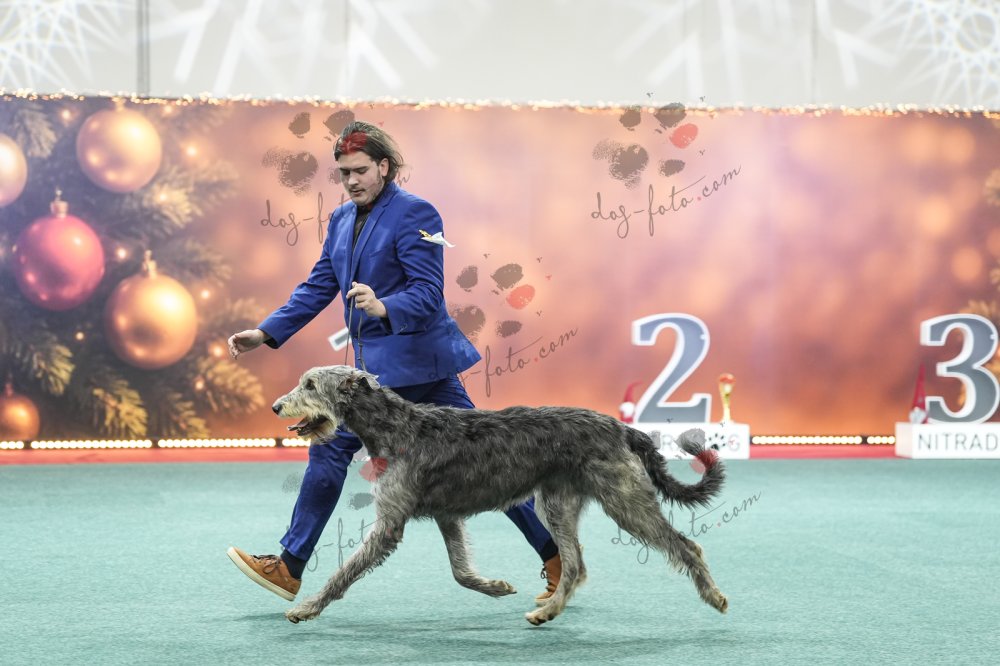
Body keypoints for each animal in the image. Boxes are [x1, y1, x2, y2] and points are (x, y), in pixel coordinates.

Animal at [273, 365, 728, 626]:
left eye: (309, 384)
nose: (277, 407)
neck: (395, 427)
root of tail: (622, 427)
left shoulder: (390, 522)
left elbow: (345, 571)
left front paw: (307, 607)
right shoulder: (446, 515)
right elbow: (460, 571)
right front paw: (495, 586)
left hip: (623, 499)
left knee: (685, 546)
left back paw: (714, 595)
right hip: (556, 504)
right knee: (575, 565)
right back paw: (547, 612)